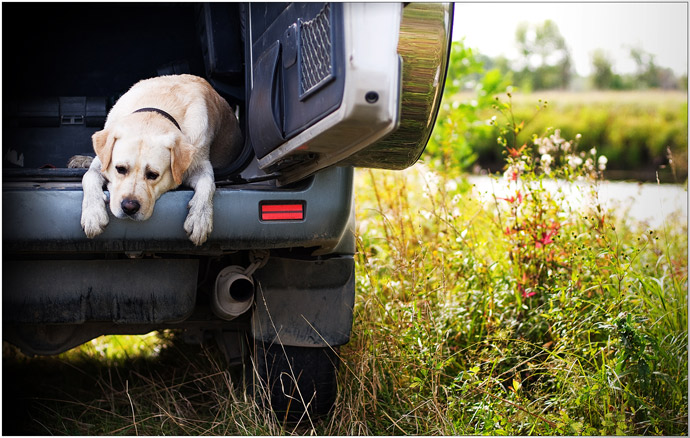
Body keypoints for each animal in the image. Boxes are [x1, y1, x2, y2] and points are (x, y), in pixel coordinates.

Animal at [80, 75, 241, 246]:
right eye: (120, 169)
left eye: (153, 175)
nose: (129, 207)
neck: (157, 108)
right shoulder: (101, 161)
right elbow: (89, 175)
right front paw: (93, 214)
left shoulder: (200, 163)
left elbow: (208, 183)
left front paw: (199, 218)